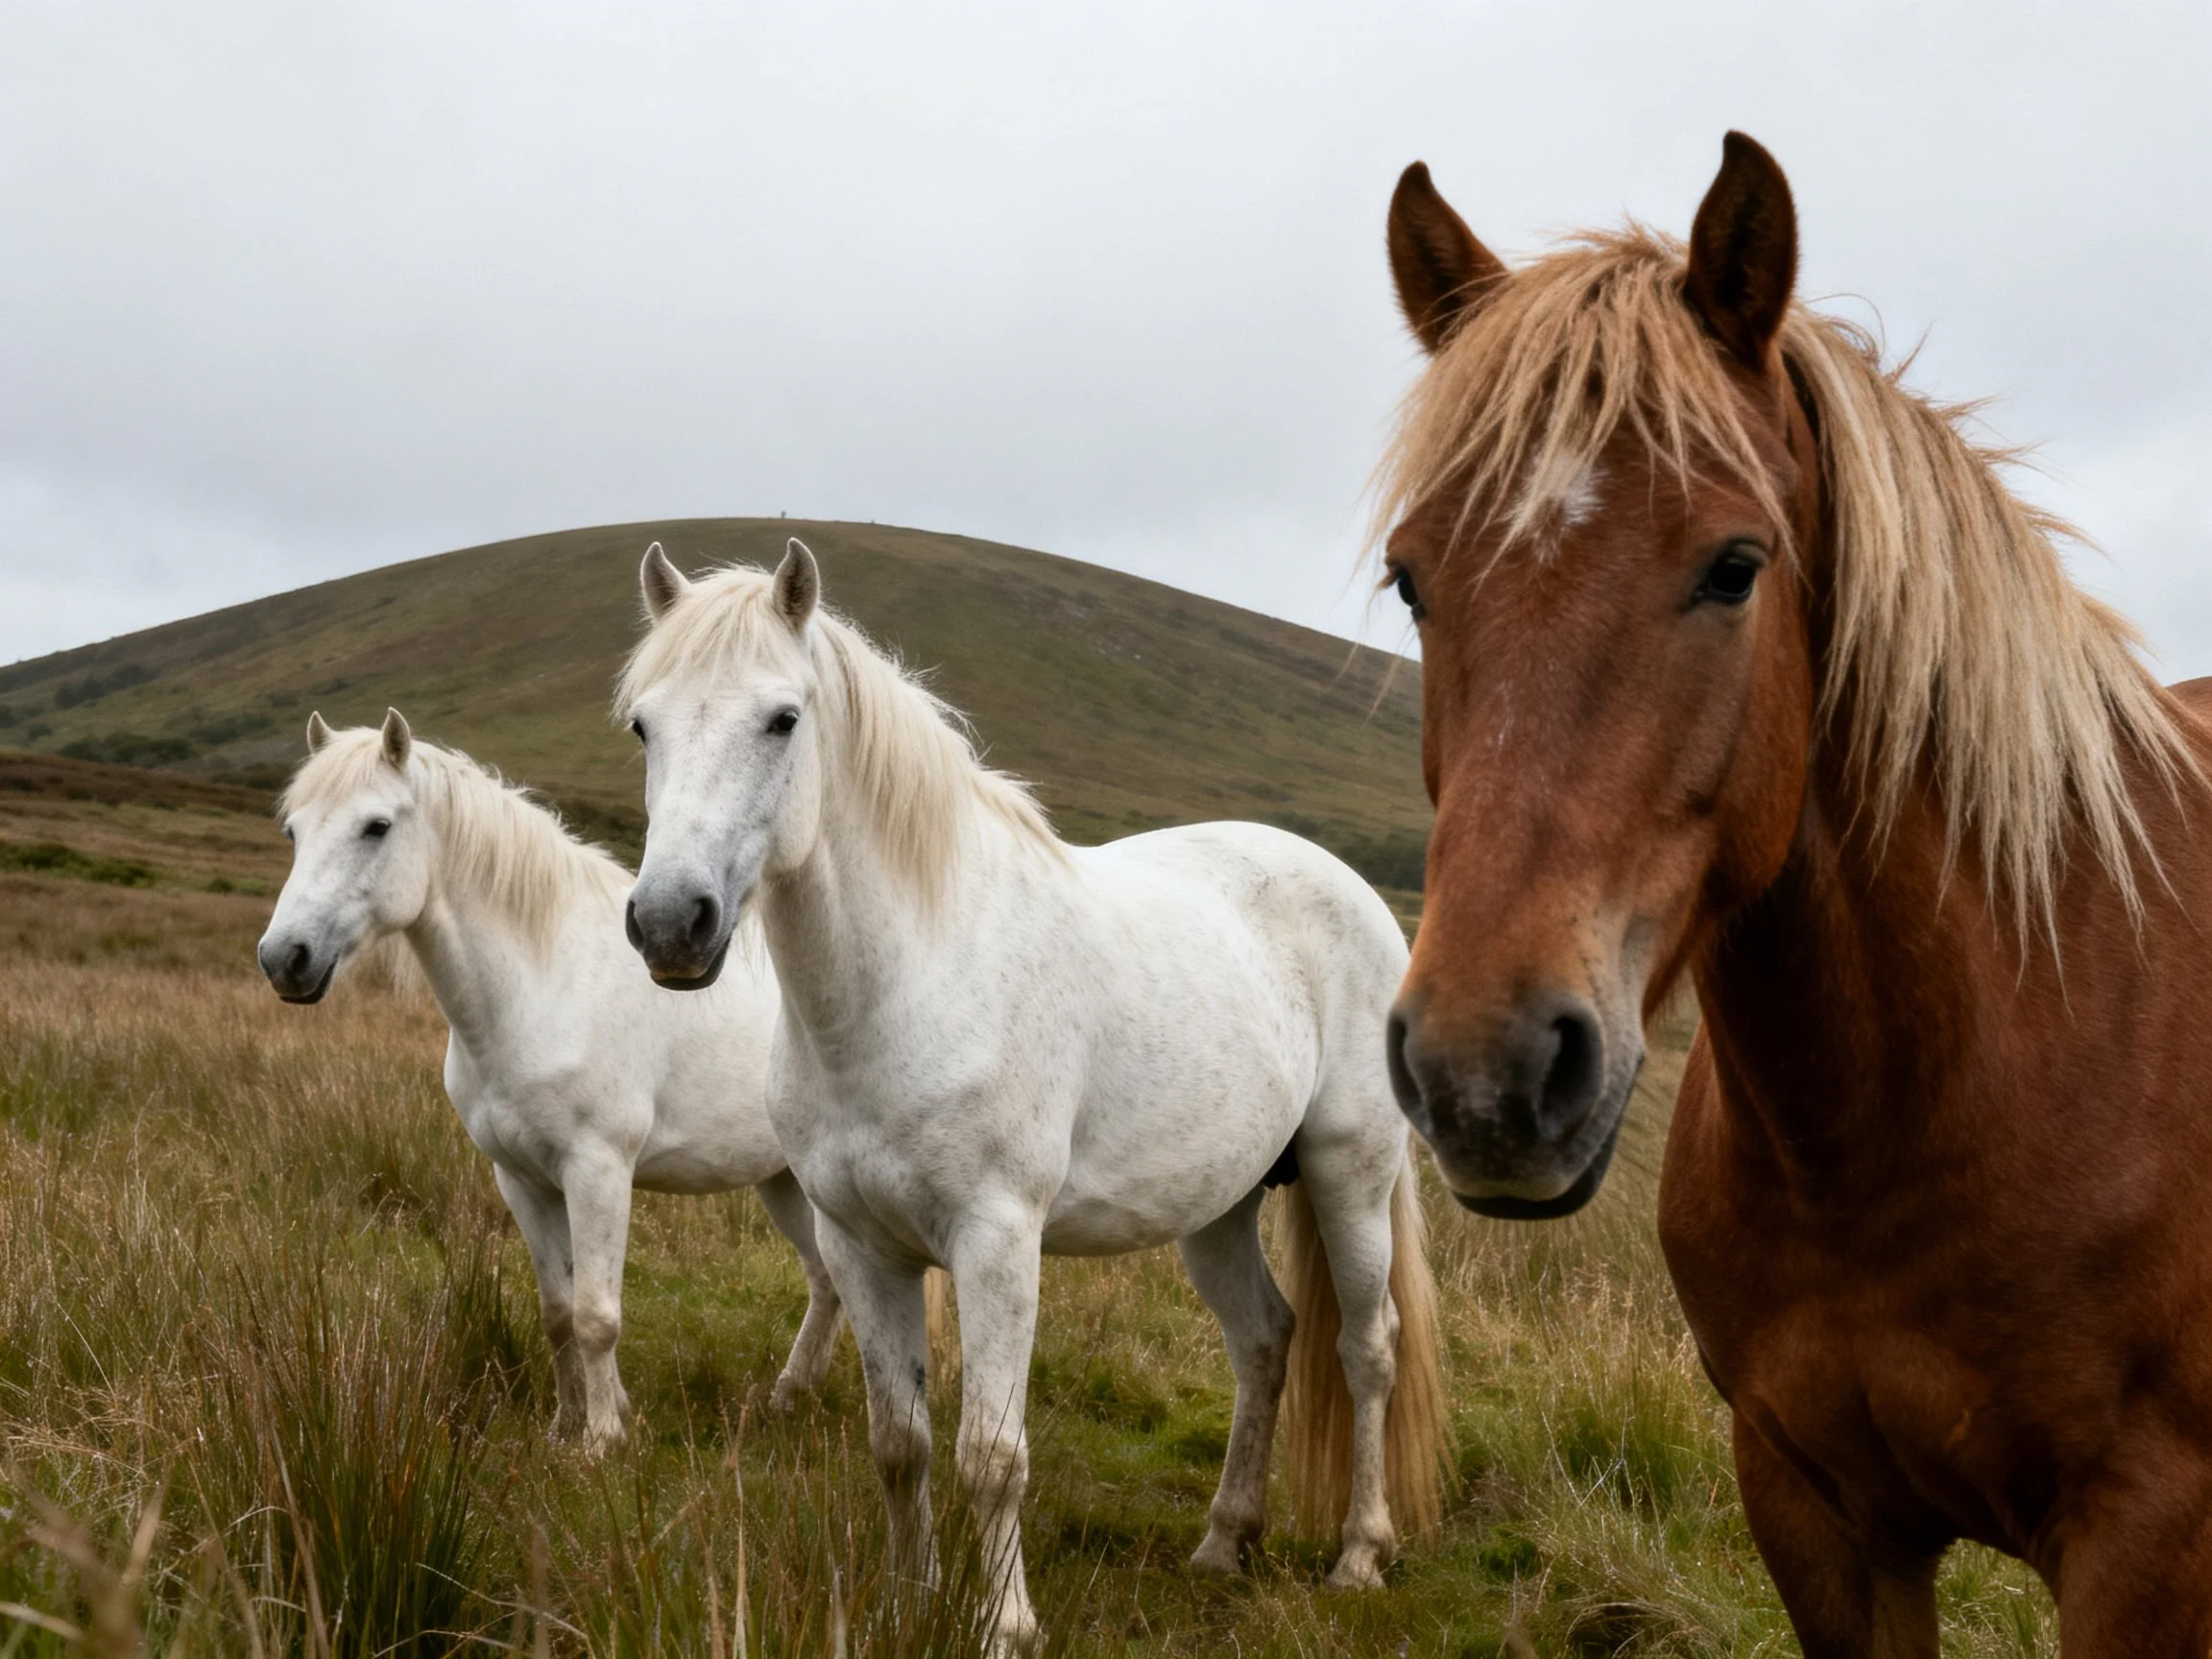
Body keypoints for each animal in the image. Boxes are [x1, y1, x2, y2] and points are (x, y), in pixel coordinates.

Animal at [255, 709, 845, 1453]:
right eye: (293, 831)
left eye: (376, 827)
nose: (285, 959)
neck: (541, 984)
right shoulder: (523, 1180)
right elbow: (559, 1311)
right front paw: (567, 1427)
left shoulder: (597, 1172)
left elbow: (597, 1314)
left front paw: (603, 1442)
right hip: (784, 1180)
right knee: (826, 1282)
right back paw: (789, 1397)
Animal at [615, 541, 1447, 1655]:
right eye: (644, 724)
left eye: (782, 718)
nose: (672, 923)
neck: (909, 979)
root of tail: (1350, 888)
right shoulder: (859, 1246)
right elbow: (900, 1443)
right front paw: (911, 1603)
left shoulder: (997, 1239)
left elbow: (991, 1454)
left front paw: (1003, 1624)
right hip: (1218, 1206)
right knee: (1265, 1340)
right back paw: (1223, 1543)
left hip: (1348, 1176)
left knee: (1367, 1348)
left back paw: (1359, 1556)